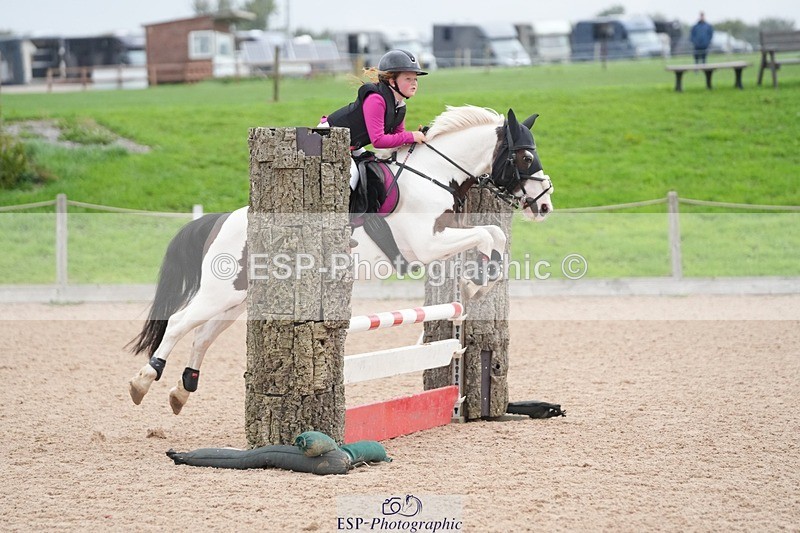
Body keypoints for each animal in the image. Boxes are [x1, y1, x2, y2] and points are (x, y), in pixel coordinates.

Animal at [127, 105, 555, 415]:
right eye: (524, 156)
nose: (545, 205)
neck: (434, 175)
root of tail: (222, 221)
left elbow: (495, 234)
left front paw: (476, 283)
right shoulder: (425, 245)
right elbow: (486, 234)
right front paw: (474, 283)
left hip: (239, 299)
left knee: (202, 334)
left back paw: (182, 391)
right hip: (221, 291)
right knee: (180, 322)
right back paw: (144, 379)